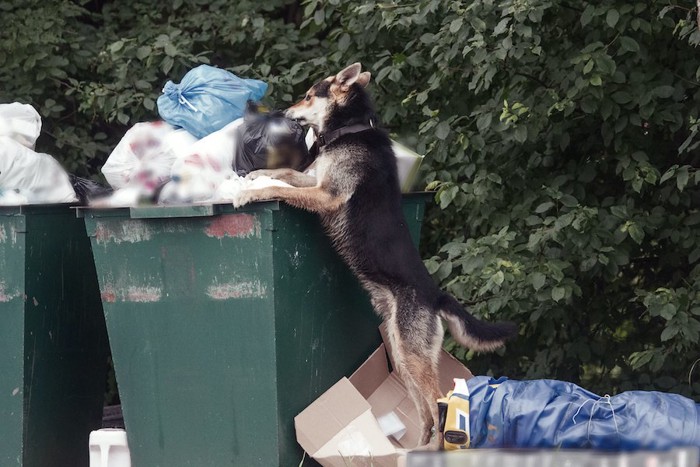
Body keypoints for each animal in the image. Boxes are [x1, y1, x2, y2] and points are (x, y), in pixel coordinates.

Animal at [232, 63, 516, 446]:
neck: (351, 129)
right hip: (402, 353)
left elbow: (280, 187)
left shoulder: (326, 194)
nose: (283, 113)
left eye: (308, 95)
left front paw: (249, 194)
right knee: (425, 413)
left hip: (412, 355)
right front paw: (255, 175)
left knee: (437, 402)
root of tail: (436, 294)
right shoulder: (314, 182)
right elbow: (283, 173)